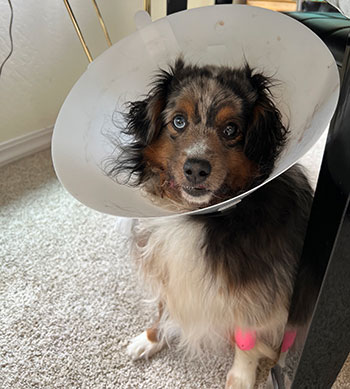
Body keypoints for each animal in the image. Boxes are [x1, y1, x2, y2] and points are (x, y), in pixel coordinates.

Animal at [106, 58, 318, 388]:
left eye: (231, 129)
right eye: (179, 122)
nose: (196, 168)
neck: (200, 213)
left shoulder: (257, 286)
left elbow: (247, 336)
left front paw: (240, 377)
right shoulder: (164, 265)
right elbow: (163, 305)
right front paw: (151, 338)